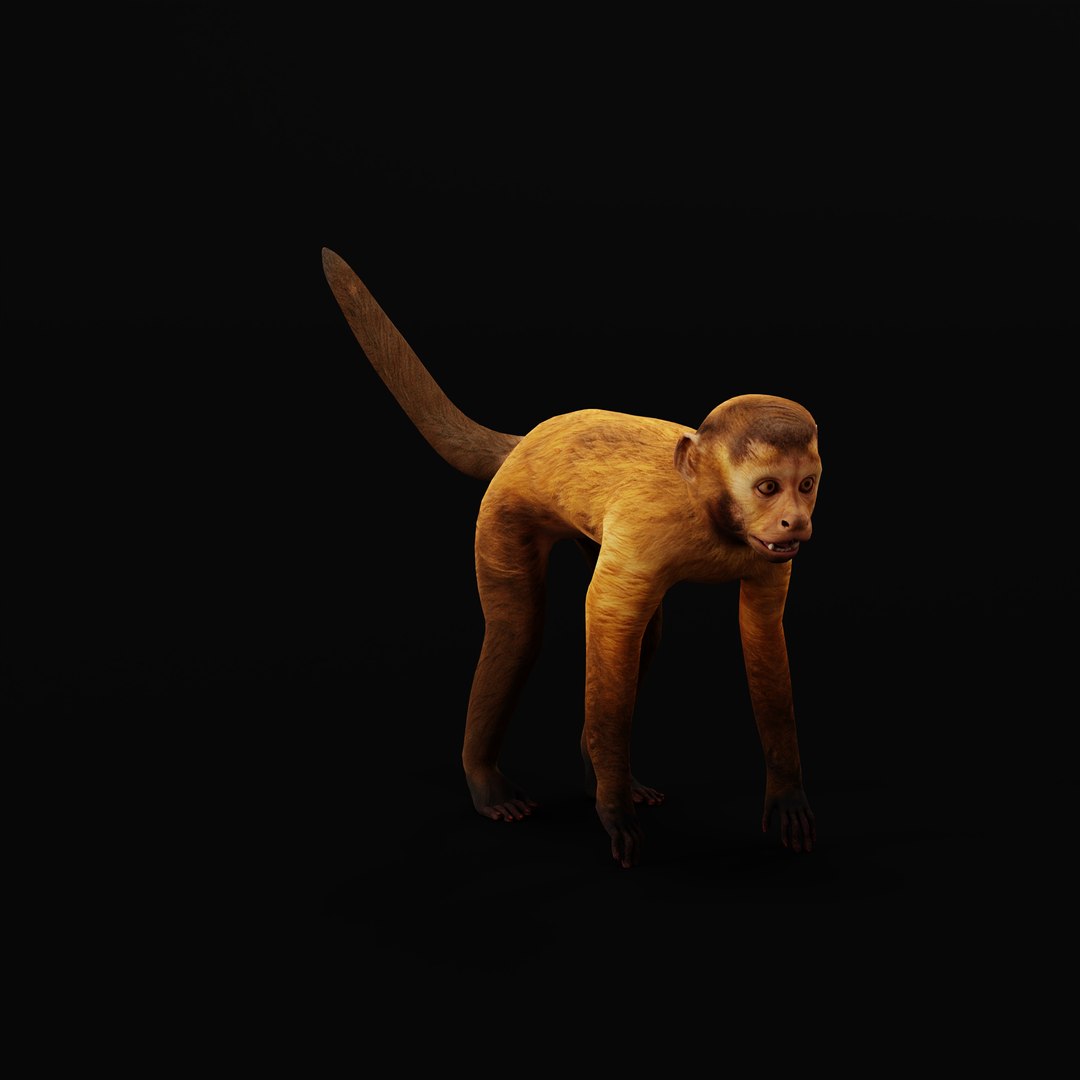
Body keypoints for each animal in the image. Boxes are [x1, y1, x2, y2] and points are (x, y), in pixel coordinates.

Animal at [321, 247, 821, 869]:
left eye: (806, 486)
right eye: (767, 488)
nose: (795, 520)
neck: (712, 510)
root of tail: (527, 440)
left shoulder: (771, 560)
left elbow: (762, 638)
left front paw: (786, 795)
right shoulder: (644, 532)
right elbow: (606, 624)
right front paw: (614, 811)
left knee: (646, 635)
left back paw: (595, 769)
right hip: (505, 510)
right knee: (518, 630)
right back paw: (490, 783)